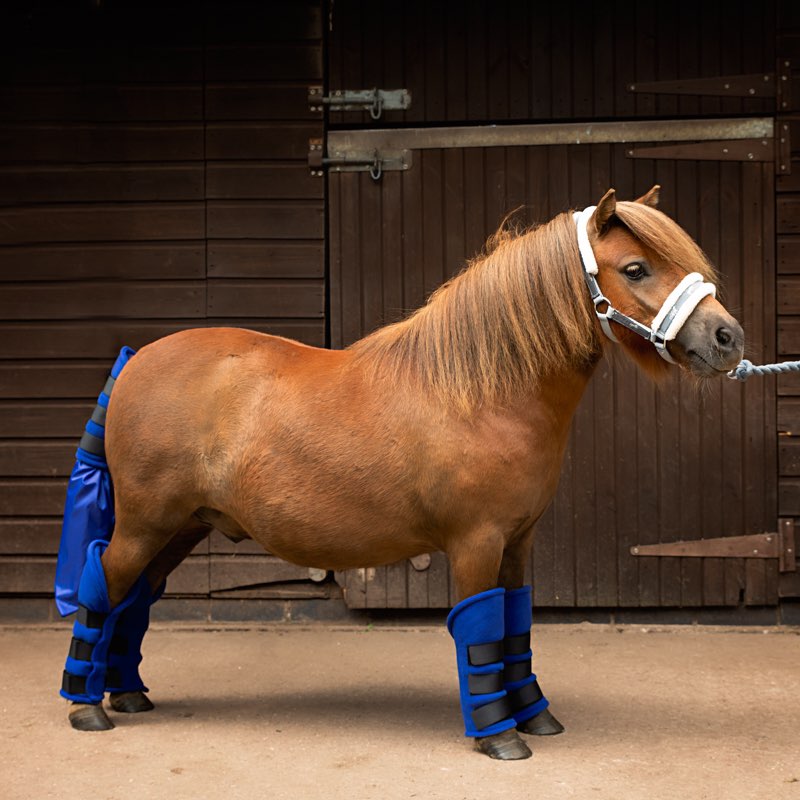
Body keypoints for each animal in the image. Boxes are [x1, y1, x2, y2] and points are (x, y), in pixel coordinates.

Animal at [64, 188, 744, 756]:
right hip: (145, 525)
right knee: (105, 588)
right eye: (634, 269)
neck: (483, 392)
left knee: (133, 599)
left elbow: (515, 623)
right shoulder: (475, 544)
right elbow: (482, 630)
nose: (728, 338)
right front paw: (500, 736)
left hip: (182, 528)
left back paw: (127, 694)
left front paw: (535, 716)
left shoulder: (518, 542)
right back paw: (85, 708)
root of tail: (135, 362)